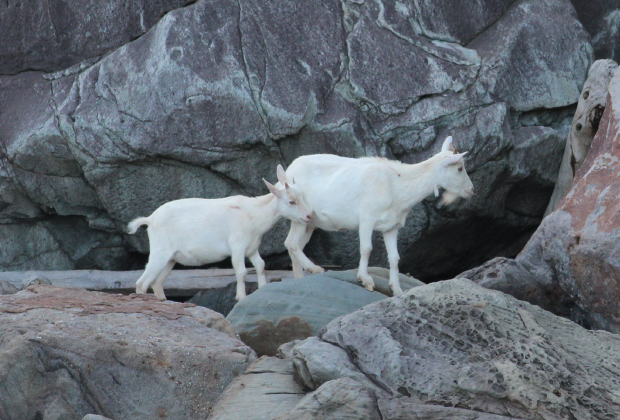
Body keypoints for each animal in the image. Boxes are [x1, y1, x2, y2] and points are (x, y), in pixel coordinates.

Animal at [127, 165, 310, 302]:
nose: (308, 216)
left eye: (302, 196)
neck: (252, 213)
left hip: (171, 258)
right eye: (291, 201)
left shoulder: (252, 248)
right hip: (160, 251)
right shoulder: (237, 245)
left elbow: (261, 265)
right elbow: (241, 271)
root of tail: (150, 219)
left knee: (157, 282)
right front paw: (241, 297)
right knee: (142, 282)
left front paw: (262, 289)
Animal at [282, 137, 474, 296]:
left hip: (309, 222)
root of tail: (288, 171)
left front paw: (397, 289)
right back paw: (315, 269)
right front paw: (365, 279)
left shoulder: (391, 227)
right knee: (291, 243)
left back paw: (301, 278)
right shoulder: (367, 218)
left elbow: (394, 258)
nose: (471, 190)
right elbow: (366, 248)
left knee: (295, 246)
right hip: (300, 214)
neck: (396, 184)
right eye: (459, 168)